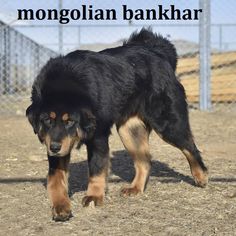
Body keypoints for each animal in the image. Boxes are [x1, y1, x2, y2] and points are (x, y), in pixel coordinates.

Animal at [25, 28, 207, 221]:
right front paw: (61, 206)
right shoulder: (55, 143)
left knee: (190, 147)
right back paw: (136, 188)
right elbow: (56, 179)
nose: (54, 147)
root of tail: (157, 53)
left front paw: (94, 196)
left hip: (167, 124)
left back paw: (201, 176)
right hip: (129, 130)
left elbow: (97, 169)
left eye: (70, 122)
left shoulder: (98, 136)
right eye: (47, 120)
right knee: (145, 161)